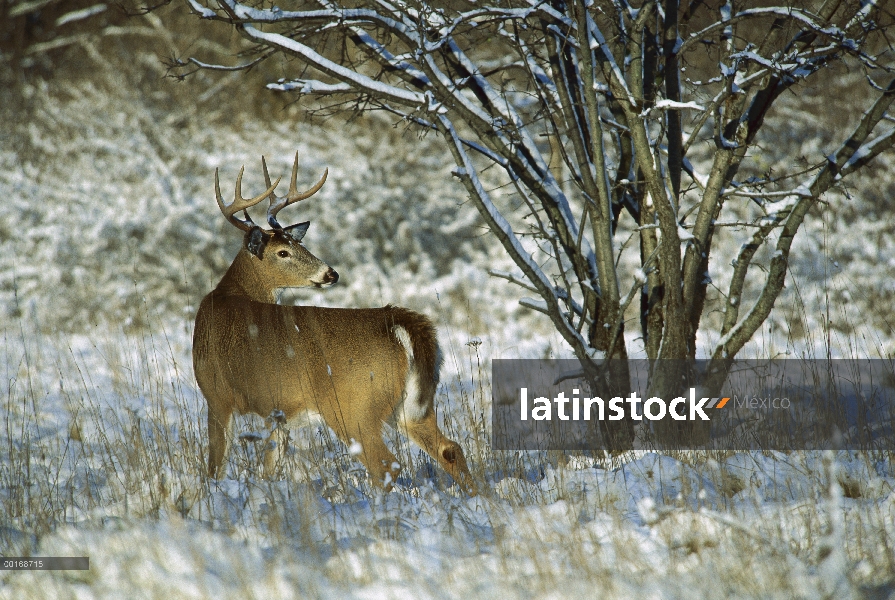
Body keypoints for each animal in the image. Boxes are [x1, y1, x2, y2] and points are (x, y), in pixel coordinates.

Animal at [193, 152, 480, 494]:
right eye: (284, 251)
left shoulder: (216, 394)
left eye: (299, 246)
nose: (330, 273)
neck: (227, 296)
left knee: (385, 464)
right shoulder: (276, 411)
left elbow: (215, 466)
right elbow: (269, 468)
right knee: (450, 448)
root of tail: (399, 324)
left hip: (352, 407)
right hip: (412, 406)